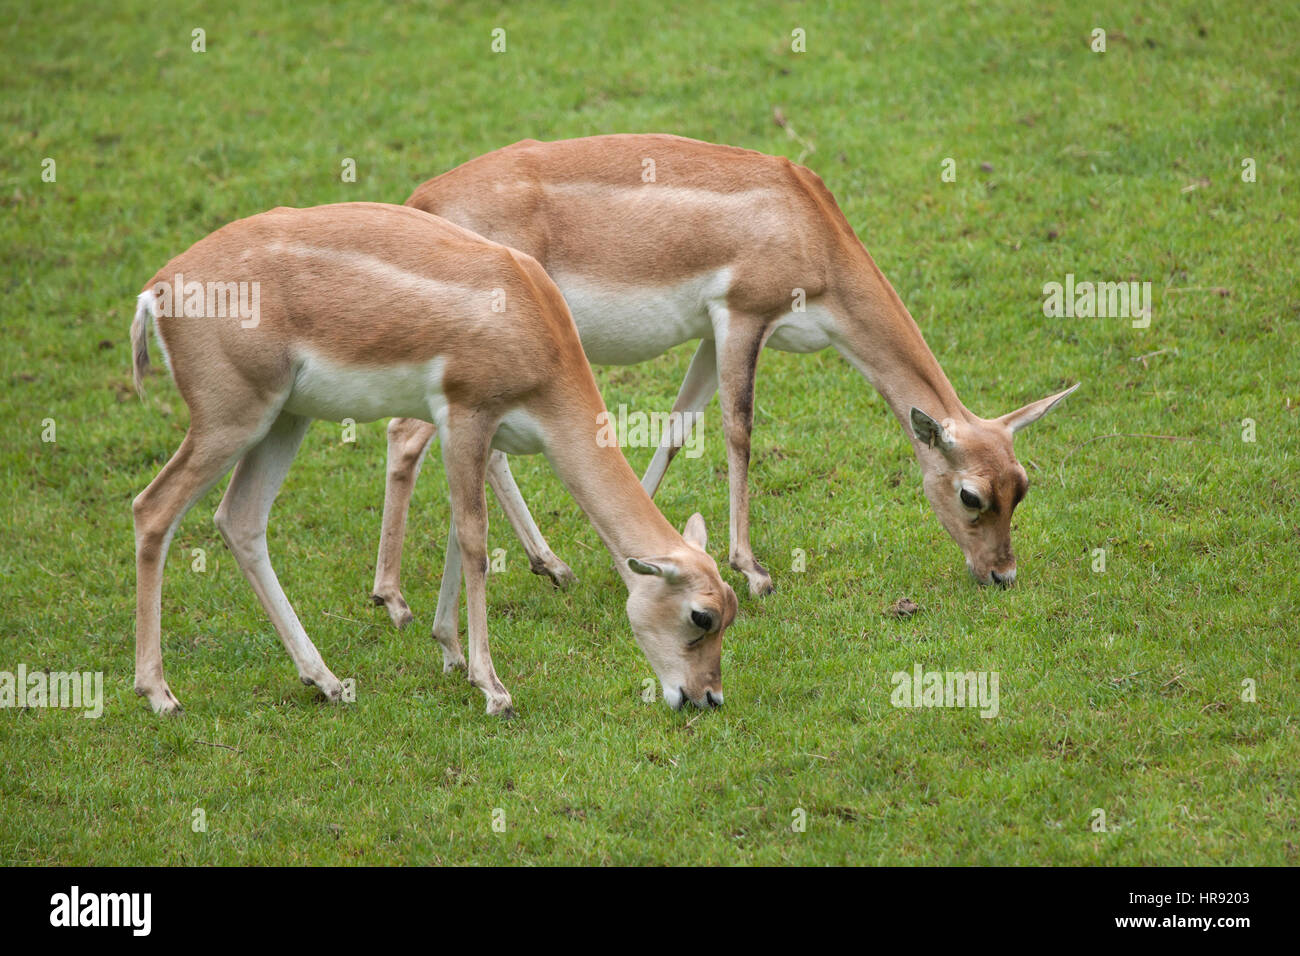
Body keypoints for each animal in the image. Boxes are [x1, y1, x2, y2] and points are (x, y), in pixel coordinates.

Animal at [126, 201, 738, 717]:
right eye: (701, 615)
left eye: (731, 612)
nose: (708, 696)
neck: (532, 321)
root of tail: (156, 290)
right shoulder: (468, 416)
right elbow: (475, 540)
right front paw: (493, 688)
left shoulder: (471, 434)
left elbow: (455, 532)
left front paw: (453, 655)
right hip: (231, 421)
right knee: (152, 509)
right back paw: (159, 694)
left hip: (283, 420)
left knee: (241, 520)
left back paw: (326, 681)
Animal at [369, 130, 1076, 624]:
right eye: (971, 496)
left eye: (1022, 486)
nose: (1003, 575)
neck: (806, 221)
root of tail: (424, 199)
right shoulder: (742, 317)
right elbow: (739, 432)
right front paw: (753, 571)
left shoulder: (710, 338)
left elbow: (678, 427)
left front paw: (629, 563)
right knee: (406, 436)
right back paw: (393, 600)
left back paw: (553, 566)